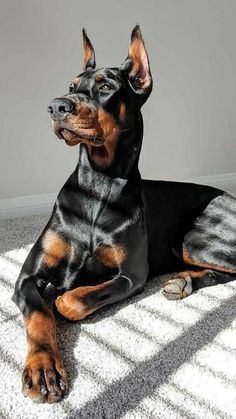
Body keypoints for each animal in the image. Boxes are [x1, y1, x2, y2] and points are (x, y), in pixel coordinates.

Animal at [12, 25, 236, 404]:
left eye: (105, 87)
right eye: (72, 85)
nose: (55, 106)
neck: (99, 184)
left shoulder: (132, 276)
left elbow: (74, 300)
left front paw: (63, 296)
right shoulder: (28, 276)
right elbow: (40, 313)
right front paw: (43, 368)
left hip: (193, 238)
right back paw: (184, 281)